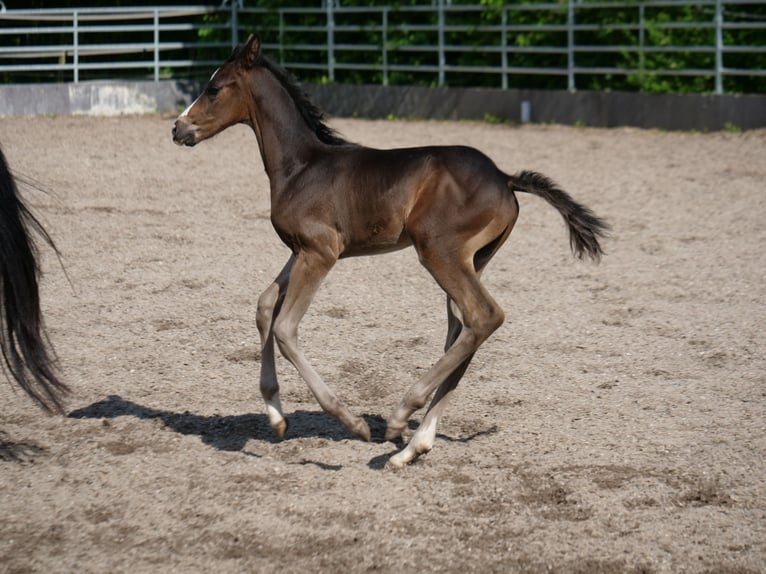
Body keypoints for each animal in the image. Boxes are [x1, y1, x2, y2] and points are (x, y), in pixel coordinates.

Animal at [174, 35, 612, 468]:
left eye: (214, 88)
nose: (178, 128)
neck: (301, 166)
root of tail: (505, 178)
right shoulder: (301, 251)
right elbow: (265, 305)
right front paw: (277, 418)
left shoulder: (320, 252)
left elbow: (285, 328)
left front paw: (352, 423)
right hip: (474, 260)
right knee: (464, 329)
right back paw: (412, 447)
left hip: (438, 252)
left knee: (484, 316)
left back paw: (401, 416)